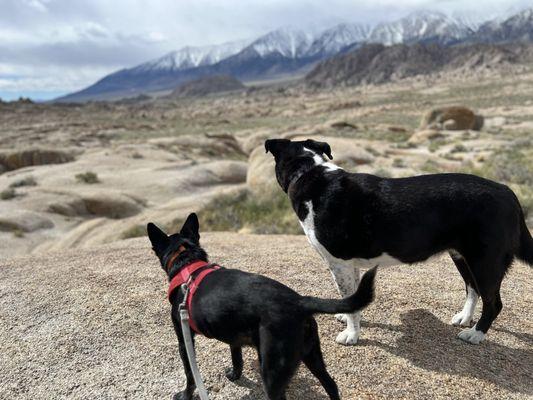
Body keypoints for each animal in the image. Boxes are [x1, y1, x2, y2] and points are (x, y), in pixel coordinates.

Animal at [148, 212, 376, 396]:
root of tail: (300, 301)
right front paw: (235, 375)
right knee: (331, 385)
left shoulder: (184, 340)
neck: (187, 262)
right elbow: (237, 358)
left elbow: (190, 375)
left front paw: (184, 395)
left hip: (273, 371)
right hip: (312, 355)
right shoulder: (233, 337)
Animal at [266, 138, 532, 344]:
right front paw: (348, 316)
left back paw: (475, 334)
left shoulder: (339, 262)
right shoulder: (349, 264)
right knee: (472, 288)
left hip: (485, 261)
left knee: (493, 301)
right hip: (462, 256)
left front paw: (351, 335)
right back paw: (465, 318)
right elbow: (353, 297)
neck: (309, 174)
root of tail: (508, 192)